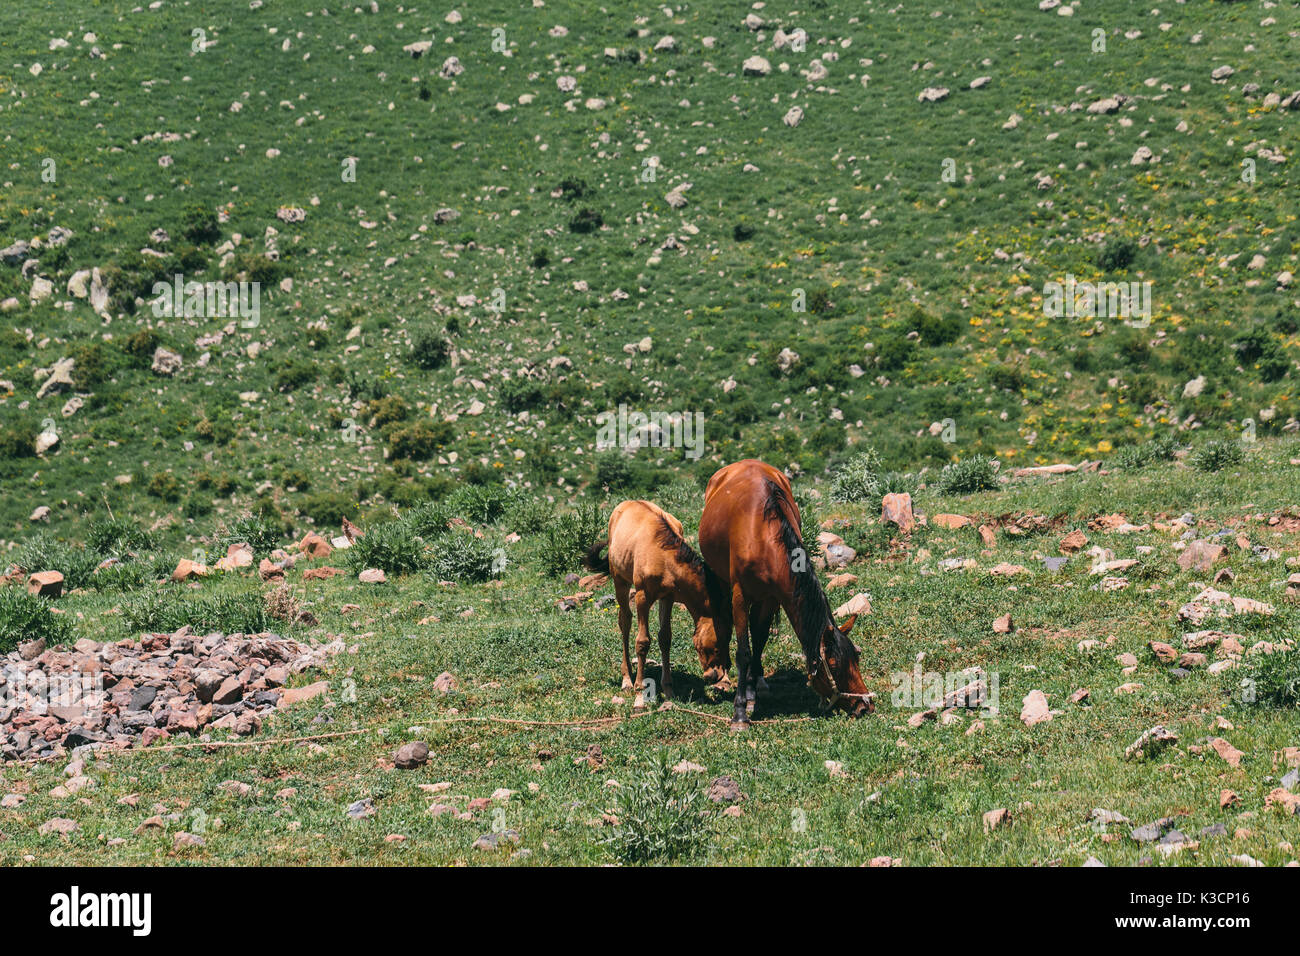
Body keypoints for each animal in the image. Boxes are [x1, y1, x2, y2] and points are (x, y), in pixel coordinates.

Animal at [587, 502, 733, 712]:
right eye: (719, 640)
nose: (717, 676)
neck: (664, 557)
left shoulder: (668, 597)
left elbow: (665, 638)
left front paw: (669, 689)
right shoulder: (642, 597)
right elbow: (642, 642)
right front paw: (639, 696)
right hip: (620, 581)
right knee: (625, 621)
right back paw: (626, 679)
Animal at [696, 460, 868, 728]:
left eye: (856, 659)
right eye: (834, 665)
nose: (864, 705)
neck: (762, 535)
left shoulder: (770, 598)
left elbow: (759, 639)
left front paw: (752, 692)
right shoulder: (740, 595)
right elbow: (743, 652)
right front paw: (740, 713)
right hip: (721, 577)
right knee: (721, 620)